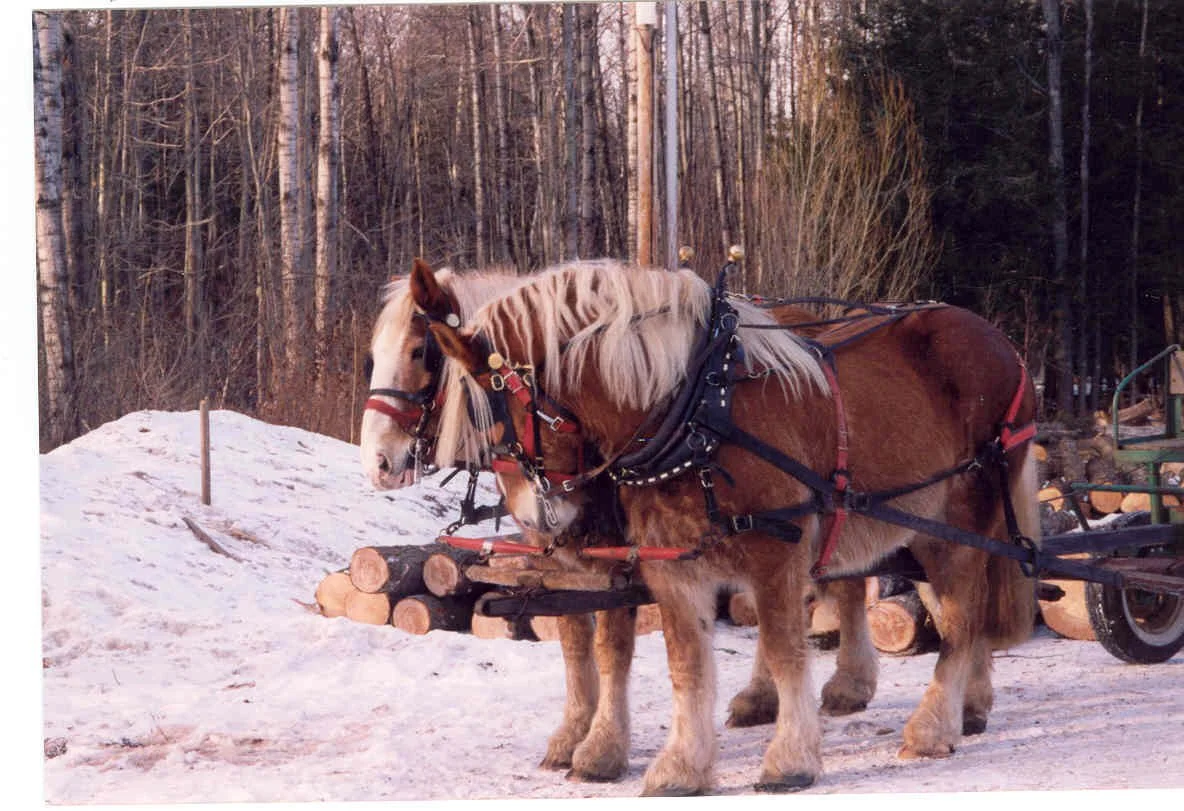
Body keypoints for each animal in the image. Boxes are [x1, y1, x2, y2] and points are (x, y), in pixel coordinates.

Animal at [361, 259, 883, 781]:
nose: (378, 463)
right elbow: (574, 644)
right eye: (373, 356)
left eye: (420, 352)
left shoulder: (615, 557)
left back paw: (849, 683)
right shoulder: (557, 559)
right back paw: (763, 696)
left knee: (844, 583)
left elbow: (611, 647)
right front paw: (572, 733)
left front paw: (602, 745)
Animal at [426, 260, 1040, 795]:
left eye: (495, 422)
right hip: (921, 527)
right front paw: (681, 768)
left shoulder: (777, 555)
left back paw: (934, 726)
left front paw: (790, 760)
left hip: (961, 518)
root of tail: (1006, 346)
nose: (536, 521)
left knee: (962, 614)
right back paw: (969, 707)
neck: (698, 412)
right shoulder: (670, 566)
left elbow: (786, 650)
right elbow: (686, 664)